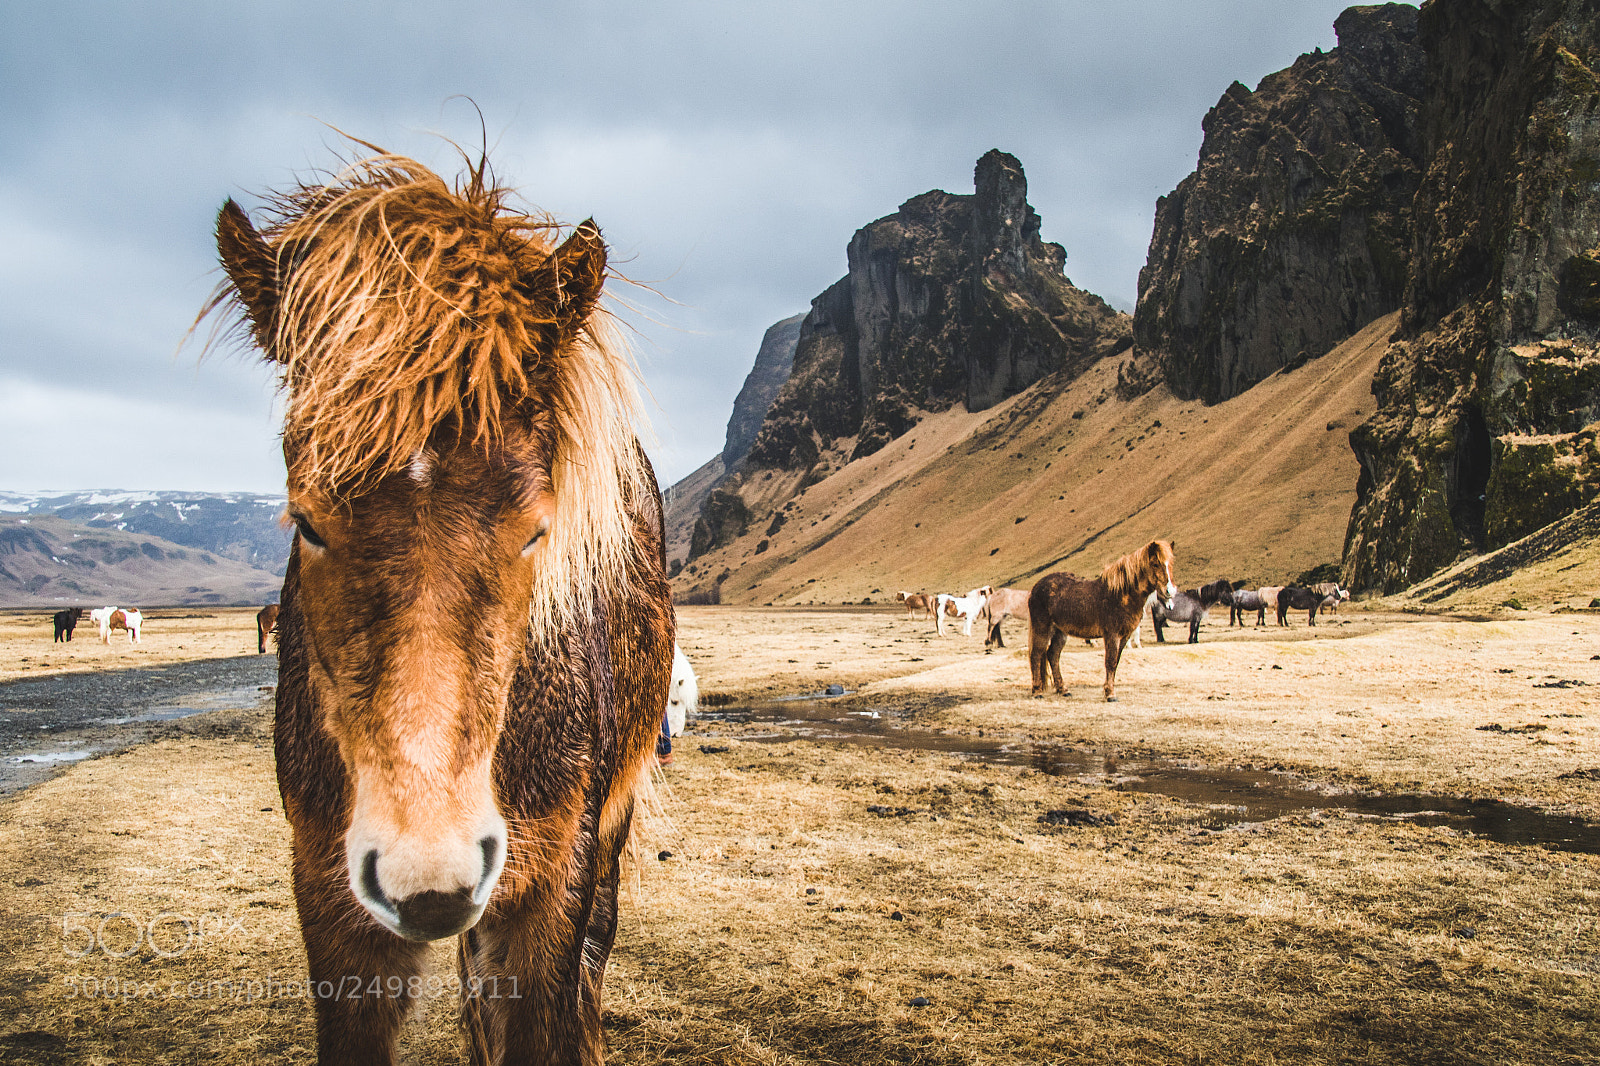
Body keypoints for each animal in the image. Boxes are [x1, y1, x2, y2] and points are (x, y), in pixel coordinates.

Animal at [1027, 540, 1176, 701]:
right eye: (1155, 564)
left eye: (1171, 563)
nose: (1170, 591)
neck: (1121, 595)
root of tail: (1036, 587)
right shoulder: (1111, 634)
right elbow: (1110, 661)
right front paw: (1110, 694)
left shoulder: (1125, 636)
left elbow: (1116, 662)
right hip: (1042, 628)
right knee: (1036, 655)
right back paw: (1037, 691)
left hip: (1060, 632)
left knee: (1052, 655)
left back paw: (1063, 690)